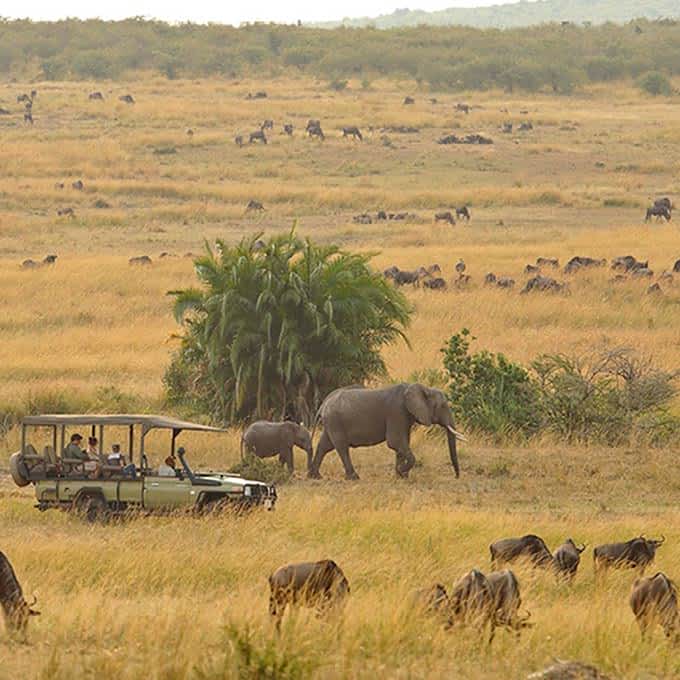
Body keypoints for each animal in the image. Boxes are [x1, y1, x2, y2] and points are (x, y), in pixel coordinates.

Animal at [306, 382, 462, 478]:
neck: (422, 387)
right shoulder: (397, 411)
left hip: (331, 422)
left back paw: (315, 476)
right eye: (442, 406)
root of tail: (324, 403)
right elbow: (395, 442)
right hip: (336, 421)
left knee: (324, 446)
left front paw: (401, 476)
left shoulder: (405, 416)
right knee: (342, 447)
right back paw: (354, 478)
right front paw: (401, 472)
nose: (456, 476)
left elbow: (402, 444)